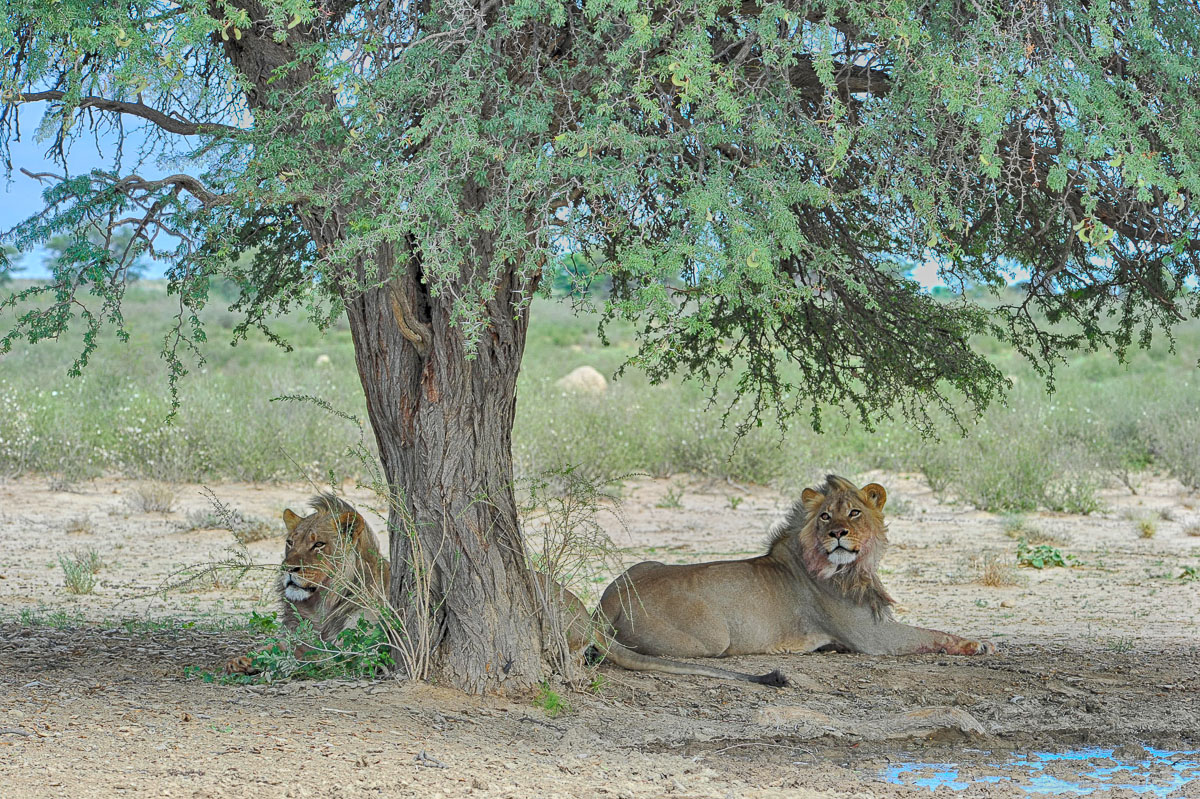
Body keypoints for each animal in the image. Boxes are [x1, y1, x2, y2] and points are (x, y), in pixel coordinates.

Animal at [225, 493, 389, 674]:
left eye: (319, 544)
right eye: (290, 542)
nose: (287, 568)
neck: (321, 606)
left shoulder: (362, 649)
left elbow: (314, 656)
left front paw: (284, 662)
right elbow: (279, 647)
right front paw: (243, 661)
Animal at [594, 475, 994, 685]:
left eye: (854, 512)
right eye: (825, 516)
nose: (837, 534)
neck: (852, 569)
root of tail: (607, 601)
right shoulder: (872, 637)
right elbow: (929, 634)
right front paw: (976, 644)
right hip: (712, 639)